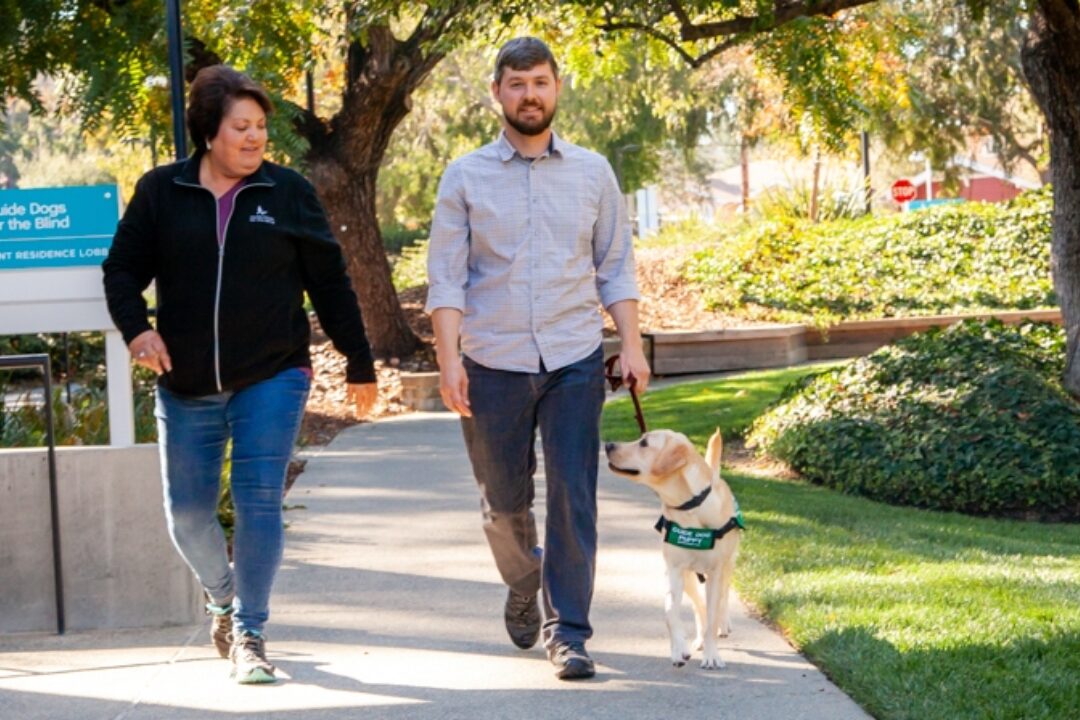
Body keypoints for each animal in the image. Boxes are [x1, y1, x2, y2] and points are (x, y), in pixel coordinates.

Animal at [604, 427, 738, 669]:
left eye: (644, 443)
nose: (608, 445)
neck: (690, 508)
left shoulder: (715, 572)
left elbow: (714, 613)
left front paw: (712, 654)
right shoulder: (674, 569)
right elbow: (670, 612)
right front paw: (679, 649)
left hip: (727, 566)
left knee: (722, 598)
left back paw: (723, 625)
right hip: (690, 577)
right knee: (698, 606)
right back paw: (699, 638)